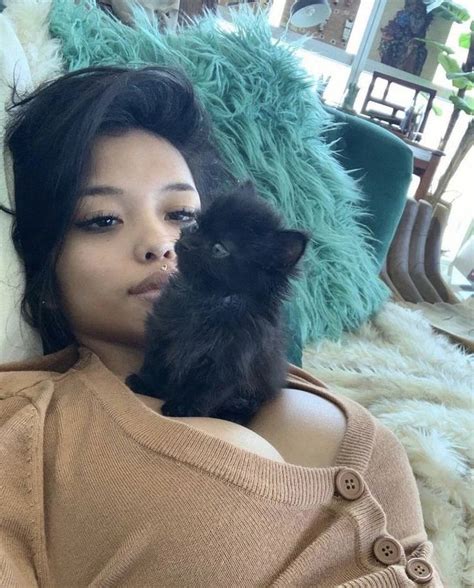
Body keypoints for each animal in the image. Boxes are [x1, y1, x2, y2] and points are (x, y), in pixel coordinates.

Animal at [126, 181, 310, 424]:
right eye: (196, 226)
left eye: (219, 249)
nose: (187, 243)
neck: (206, 298)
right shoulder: (163, 333)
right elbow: (157, 363)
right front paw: (146, 383)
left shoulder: (228, 362)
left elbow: (205, 390)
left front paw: (183, 406)